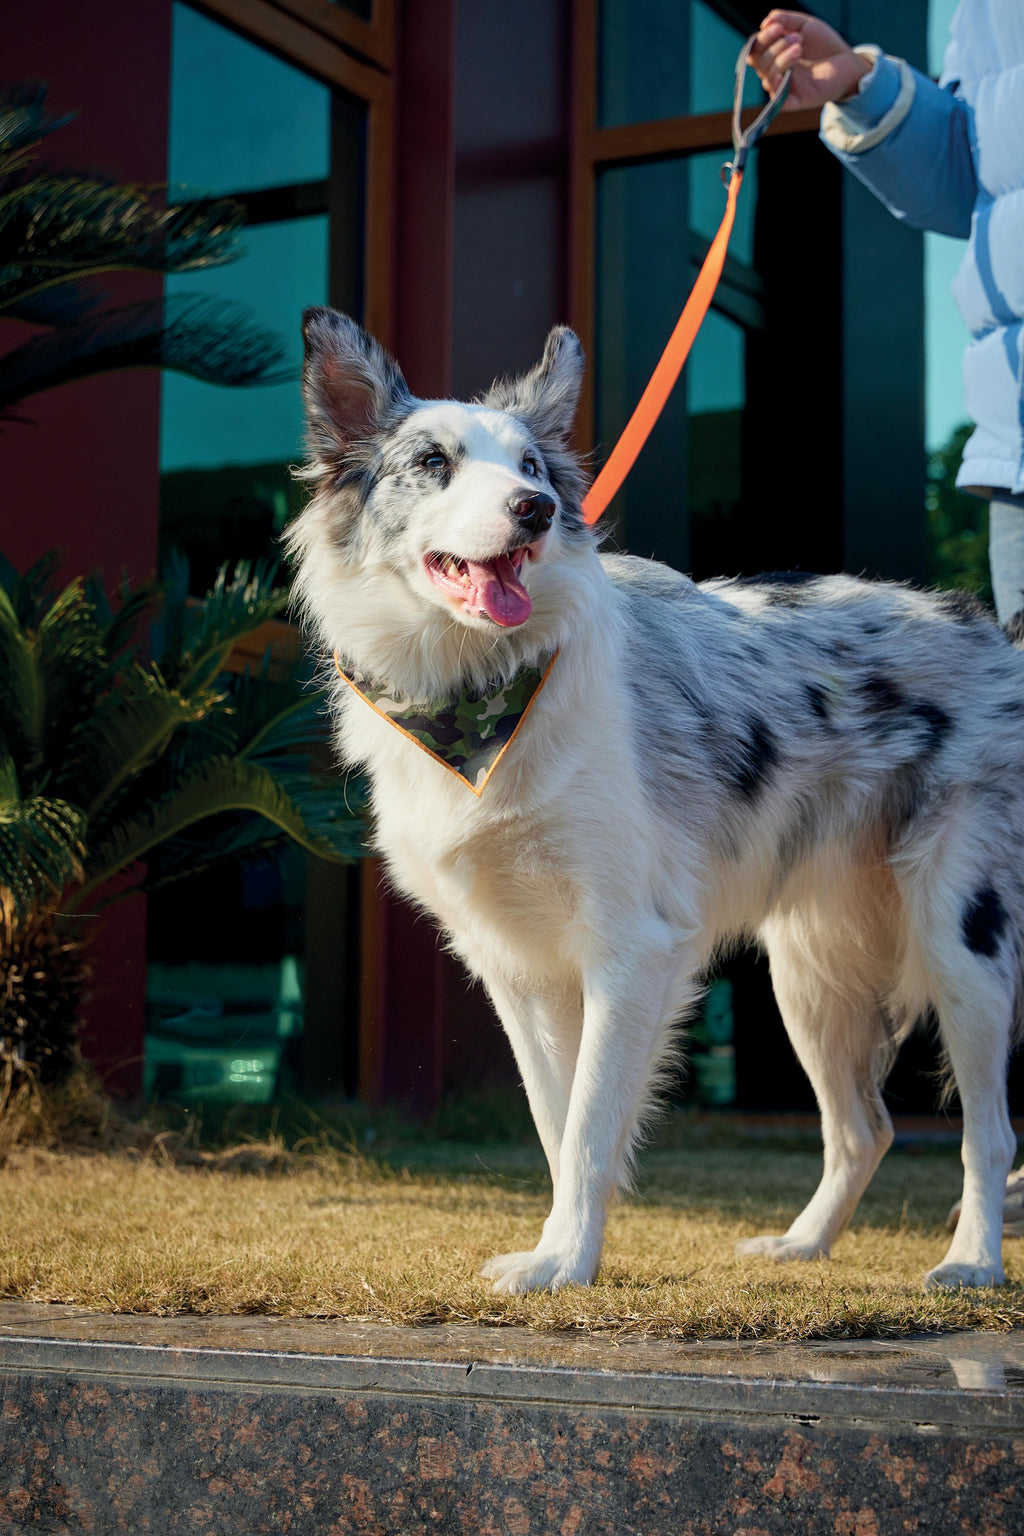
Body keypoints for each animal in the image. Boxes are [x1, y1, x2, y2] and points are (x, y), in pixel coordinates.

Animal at [284, 308, 1019, 1296]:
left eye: (531, 467)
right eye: (433, 461)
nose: (537, 509)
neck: (481, 689)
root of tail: (993, 635)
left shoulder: (631, 947)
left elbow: (593, 1125)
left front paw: (564, 1261)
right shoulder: (518, 967)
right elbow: (558, 1124)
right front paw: (567, 1252)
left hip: (960, 943)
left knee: (988, 1132)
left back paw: (972, 1258)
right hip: (810, 974)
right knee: (865, 1128)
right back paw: (803, 1245)